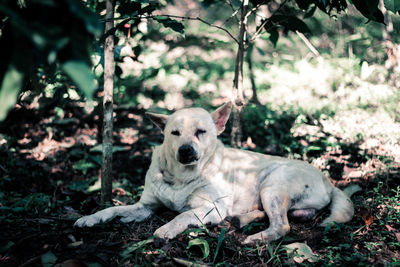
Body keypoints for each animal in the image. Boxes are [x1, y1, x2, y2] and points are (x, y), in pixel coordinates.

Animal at [74, 102, 354, 245]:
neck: (181, 177)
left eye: (201, 132)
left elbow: (183, 214)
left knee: (281, 225)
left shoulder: (212, 207)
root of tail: (329, 182)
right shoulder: (145, 207)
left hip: (272, 185)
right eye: (174, 133)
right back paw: (241, 220)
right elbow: (113, 208)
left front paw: (167, 229)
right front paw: (91, 218)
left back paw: (254, 237)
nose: (186, 150)